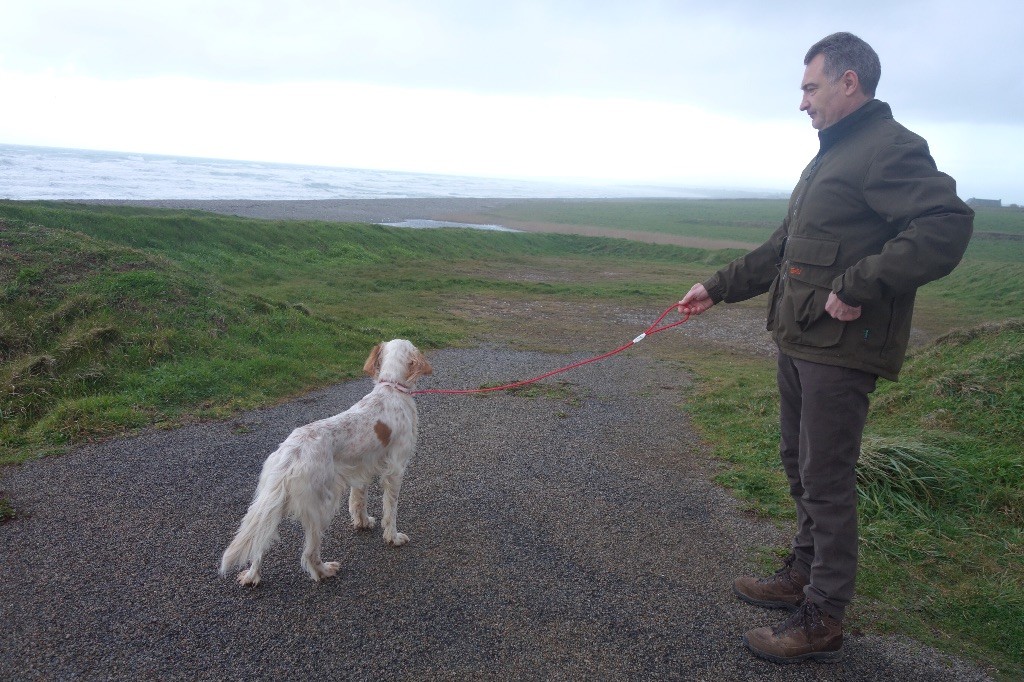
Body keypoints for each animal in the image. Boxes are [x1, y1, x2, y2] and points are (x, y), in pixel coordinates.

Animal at [220, 337, 432, 581]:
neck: (391, 388)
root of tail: (292, 452)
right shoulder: (395, 470)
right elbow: (391, 509)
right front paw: (393, 537)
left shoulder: (362, 468)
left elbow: (358, 500)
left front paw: (363, 522)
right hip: (321, 506)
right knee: (309, 553)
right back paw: (324, 570)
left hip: (274, 502)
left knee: (260, 541)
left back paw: (252, 576)